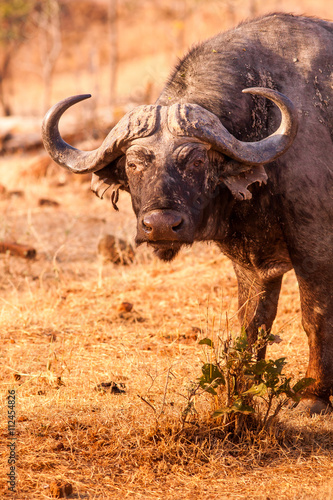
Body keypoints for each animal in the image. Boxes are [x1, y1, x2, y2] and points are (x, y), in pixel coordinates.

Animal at [42, 13, 332, 414]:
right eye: (133, 163)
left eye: (196, 160)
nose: (161, 226)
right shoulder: (251, 265)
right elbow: (252, 324)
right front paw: (242, 388)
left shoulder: (315, 248)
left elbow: (314, 315)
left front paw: (313, 395)